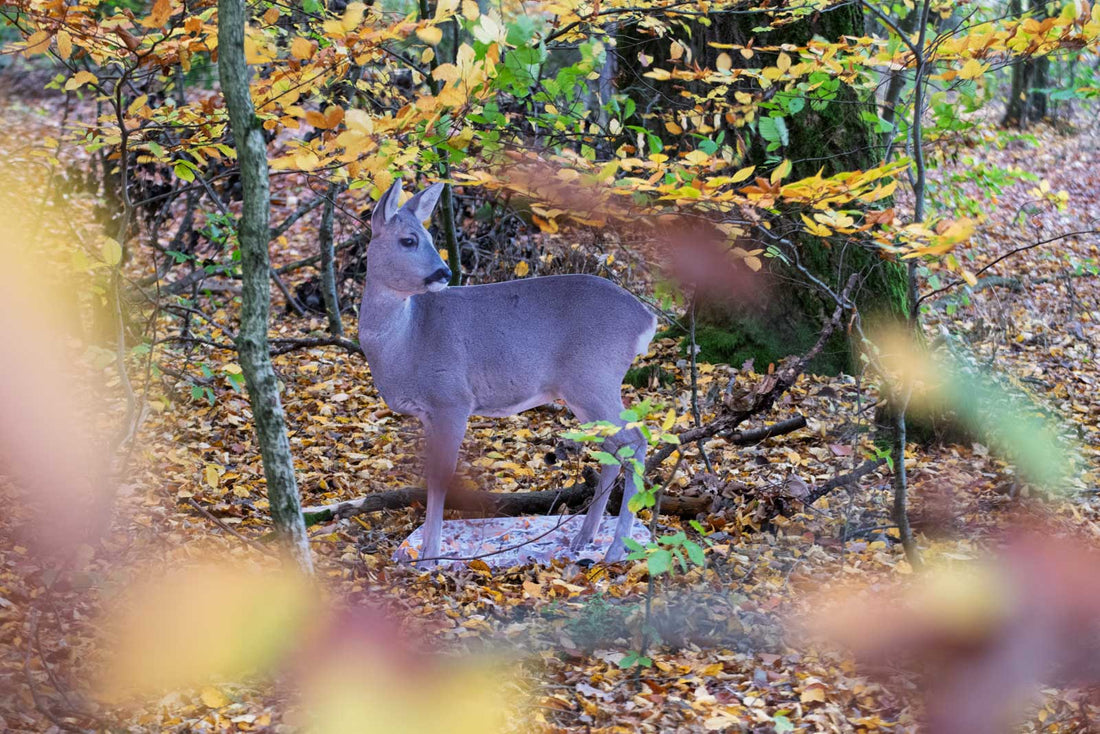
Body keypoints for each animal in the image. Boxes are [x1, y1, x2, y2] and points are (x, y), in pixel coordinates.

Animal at [357, 180, 658, 566]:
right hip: (584, 390)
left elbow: (442, 477)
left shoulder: (452, 399)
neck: (406, 342)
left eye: (427, 235)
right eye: (409, 240)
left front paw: (431, 555)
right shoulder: (428, 412)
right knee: (612, 447)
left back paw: (616, 548)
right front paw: (422, 551)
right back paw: (583, 538)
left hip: (595, 376)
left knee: (635, 440)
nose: (444, 273)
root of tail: (646, 319)